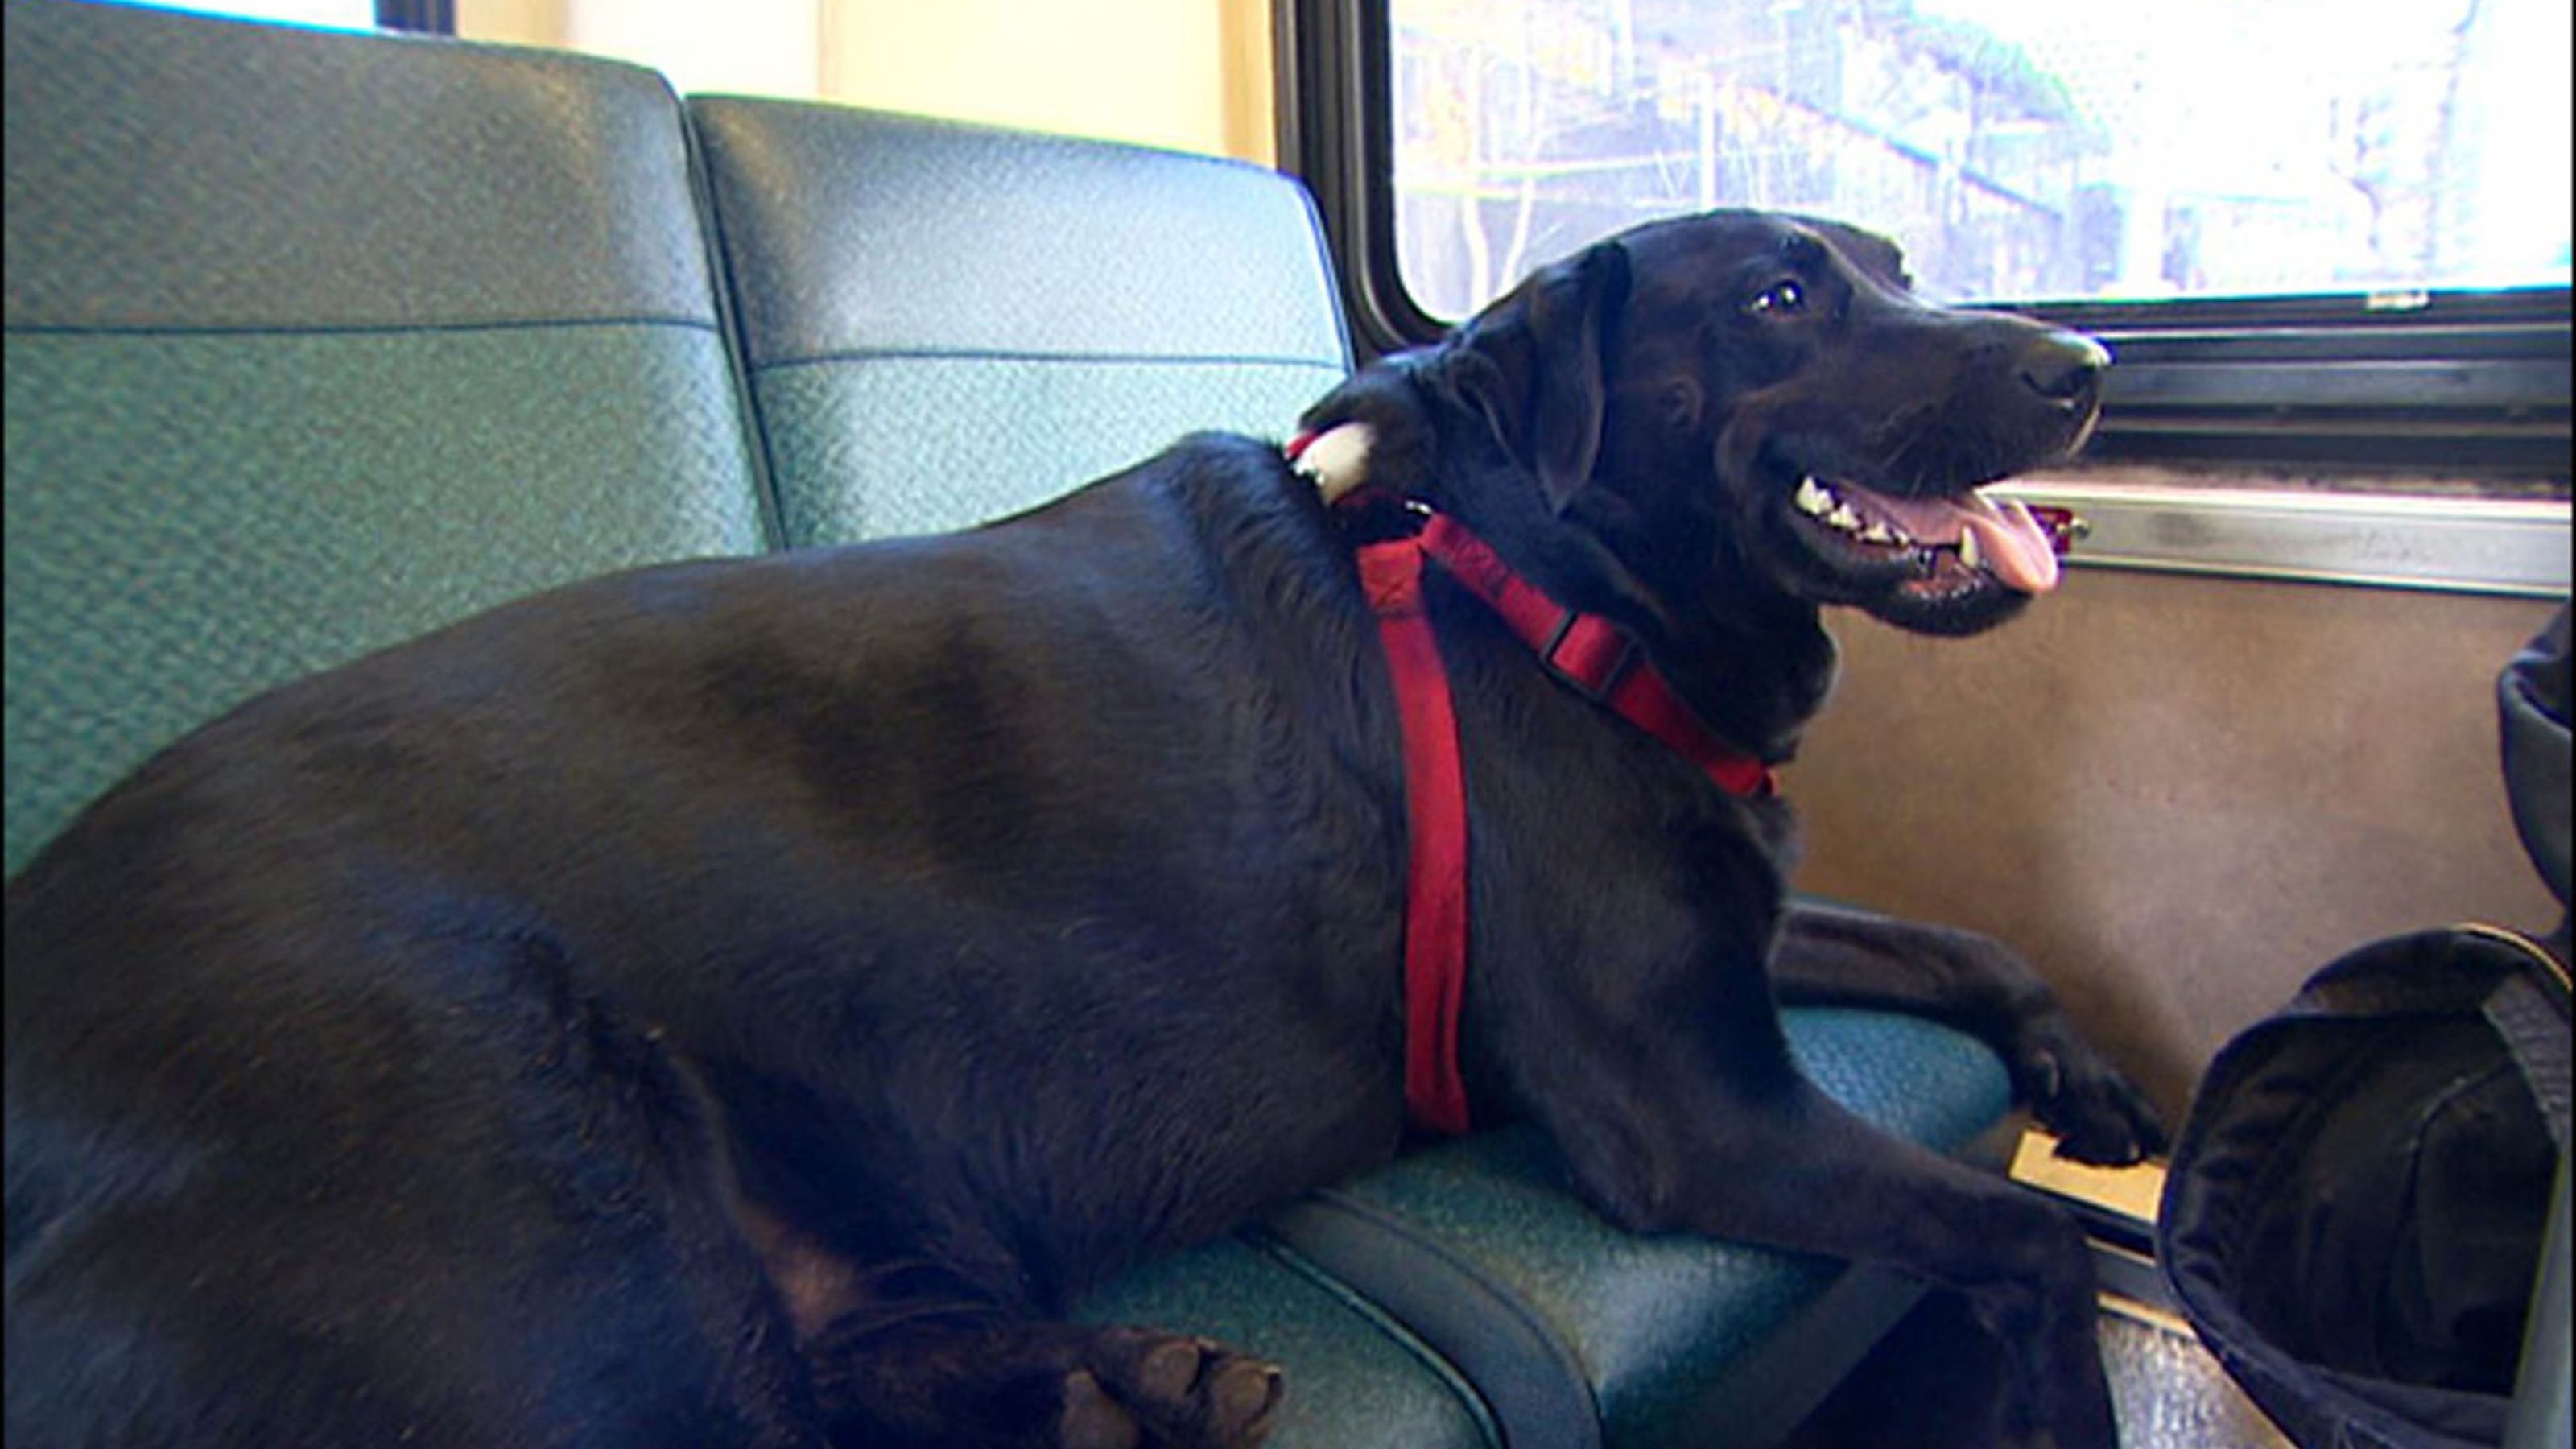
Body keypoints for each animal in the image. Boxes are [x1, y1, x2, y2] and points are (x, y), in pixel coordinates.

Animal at [10, 208, 2164, 1433]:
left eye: (1897, 268)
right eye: (1789, 294)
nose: (2084, 362)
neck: (1521, 568)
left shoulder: (1726, 936)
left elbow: (1952, 942)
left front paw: (2087, 1071)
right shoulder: (1689, 1104)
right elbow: (2030, 1246)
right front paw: (2061, 1392)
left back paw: (1141, 1386)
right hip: (567, 1235)